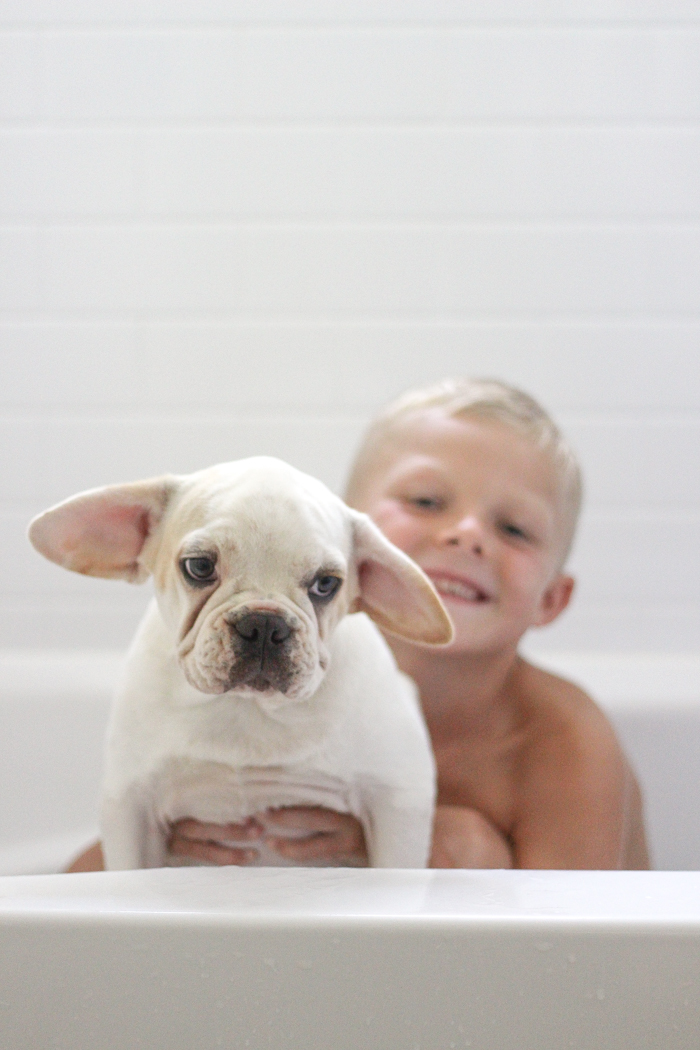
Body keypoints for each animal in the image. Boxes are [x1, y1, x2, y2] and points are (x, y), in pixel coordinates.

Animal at [28, 459, 455, 869]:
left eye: (326, 584)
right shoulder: (130, 807)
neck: (248, 708)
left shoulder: (398, 803)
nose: (265, 624)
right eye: (199, 567)